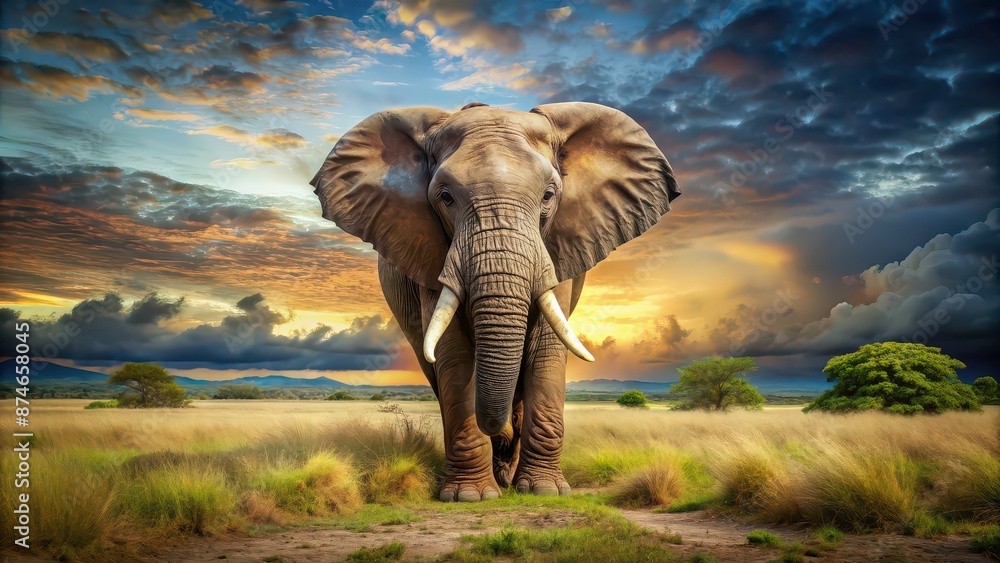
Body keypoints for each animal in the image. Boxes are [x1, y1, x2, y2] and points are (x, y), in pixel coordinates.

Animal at [311, 101, 679, 501]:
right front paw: (469, 496)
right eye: (445, 197)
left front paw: (545, 491)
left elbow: (547, 347)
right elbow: (453, 353)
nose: (499, 433)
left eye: (548, 195)